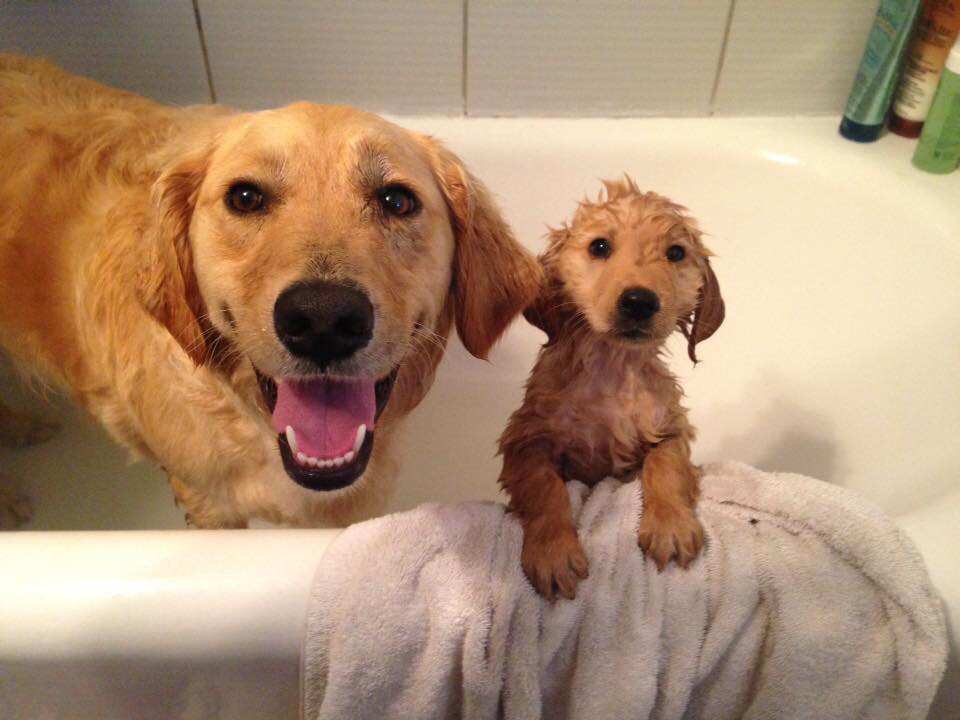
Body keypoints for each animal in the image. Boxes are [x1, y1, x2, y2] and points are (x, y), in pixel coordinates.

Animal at [498, 177, 724, 600]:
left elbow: (665, 466)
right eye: (599, 246)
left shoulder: (670, 427)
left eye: (675, 253)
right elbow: (544, 487)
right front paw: (553, 552)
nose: (639, 301)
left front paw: (670, 525)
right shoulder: (526, 439)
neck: (611, 368)